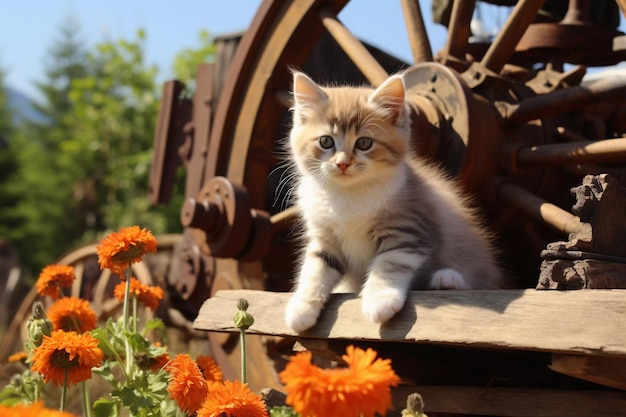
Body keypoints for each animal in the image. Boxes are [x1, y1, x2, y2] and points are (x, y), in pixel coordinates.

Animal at [282, 71, 502, 332]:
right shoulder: (324, 238)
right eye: (326, 142)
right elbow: (314, 268)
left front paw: (379, 299)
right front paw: (302, 307)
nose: (343, 163)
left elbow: (389, 262)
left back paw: (448, 279)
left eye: (364, 143)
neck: (348, 193)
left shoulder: (409, 229)